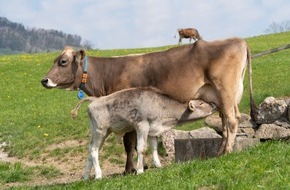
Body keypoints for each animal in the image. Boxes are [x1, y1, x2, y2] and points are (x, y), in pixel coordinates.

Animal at [71, 88, 214, 180]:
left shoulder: (153, 130)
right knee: (94, 150)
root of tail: (95, 99)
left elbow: (154, 147)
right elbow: (141, 148)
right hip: (99, 131)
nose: (213, 105)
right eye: (201, 103)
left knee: (90, 150)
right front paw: (140, 170)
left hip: (102, 132)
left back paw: (85, 176)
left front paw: (158, 165)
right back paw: (98, 175)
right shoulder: (142, 125)